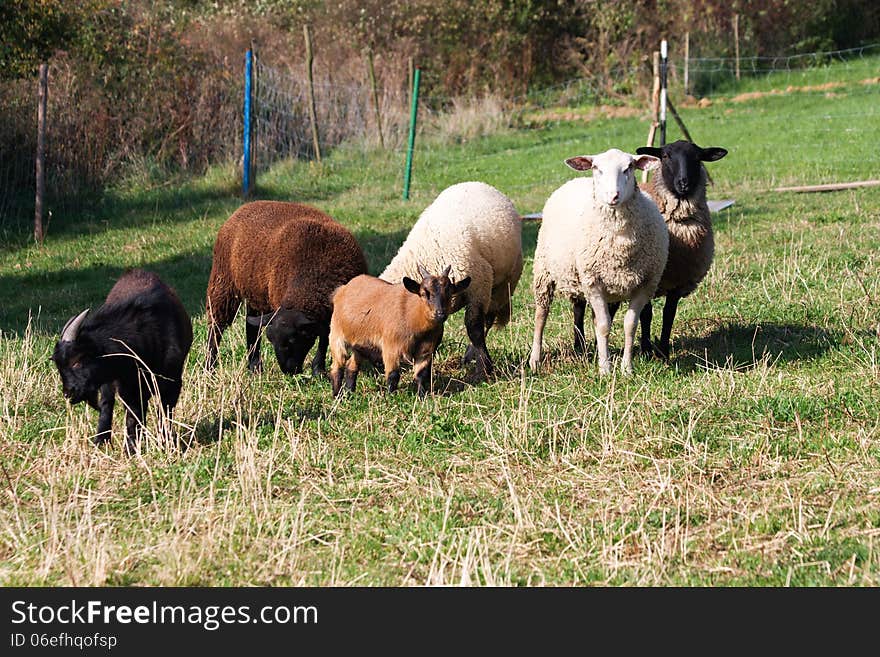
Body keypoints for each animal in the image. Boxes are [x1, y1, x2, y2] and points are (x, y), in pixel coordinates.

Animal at [51, 270, 192, 454]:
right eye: (59, 366)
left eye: (77, 361)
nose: (69, 393)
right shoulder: (128, 388)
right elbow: (133, 417)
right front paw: (131, 449)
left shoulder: (172, 383)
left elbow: (164, 412)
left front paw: (167, 443)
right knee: (107, 404)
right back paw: (101, 440)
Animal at [206, 200, 368, 374]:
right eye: (272, 340)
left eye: (294, 340)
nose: (289, 371)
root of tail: (246, 206)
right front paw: (318, 369)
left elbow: (325, 338)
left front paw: (318, 369)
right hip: (223, 282)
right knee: (216, 326)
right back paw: (209, 366)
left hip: (255, 293)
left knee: (251, 326)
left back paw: (254, 366)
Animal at [380, 181, 524, 380]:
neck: (425, 255)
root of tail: (477, 182)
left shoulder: (479, 285)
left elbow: (474, 328)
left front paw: (484, 369)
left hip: (502, 284)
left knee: (488, 318)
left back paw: (472, 355)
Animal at [528, 147, 668, 374]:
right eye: (597, 168)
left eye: (629, 167)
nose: (613, 196)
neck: (620, 240)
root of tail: (575, 179)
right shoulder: (594, 283)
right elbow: (603, 326)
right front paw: (605, 370)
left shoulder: (645, 285)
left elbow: (630, 326)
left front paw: (626, 369)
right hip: (544, 271)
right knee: (541, 315)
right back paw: (535, 359)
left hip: (579, 277)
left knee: (580, 310)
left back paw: (583, 350)